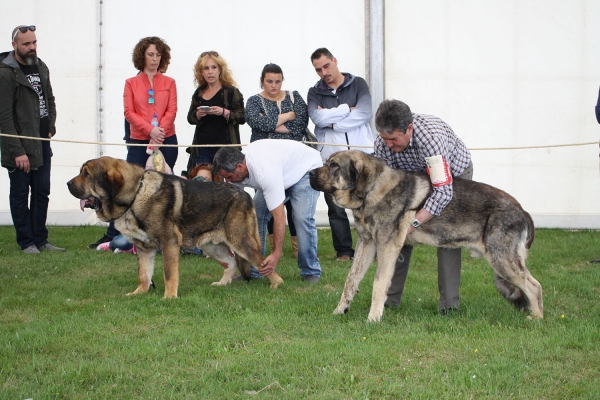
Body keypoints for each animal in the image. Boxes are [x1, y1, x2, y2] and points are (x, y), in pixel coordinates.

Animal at [68, 156, 284, 296]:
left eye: (86, 174)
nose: (67, 183)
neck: (135, 194)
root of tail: (245, 194)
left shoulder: (169, 244)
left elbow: (169, 274)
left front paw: (169, 297)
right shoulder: (143, 249)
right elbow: (143, 275)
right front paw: (139, 293)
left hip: (241, 242)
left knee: (264, 265)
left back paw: (276, 286)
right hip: (211, 245)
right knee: (231, 263)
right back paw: (222, 284)